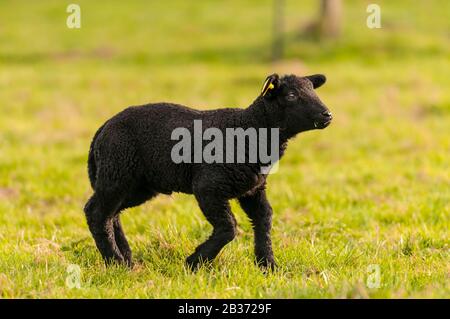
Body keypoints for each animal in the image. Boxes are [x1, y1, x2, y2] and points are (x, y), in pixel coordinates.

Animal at [84, 74, 332, 272]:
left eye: (312, 89)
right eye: (291, 95)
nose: (327, 114)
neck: (249, 129)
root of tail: (104, 127)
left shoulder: (253, 189)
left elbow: (264, 219)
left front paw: (268, 265)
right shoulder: (208, 187)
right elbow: (228, 228)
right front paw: (195, 261)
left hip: (137, 184)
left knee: (111, 213)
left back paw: (126, 258)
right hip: (118, 172)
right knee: (96, 213)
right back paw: (116, 262)